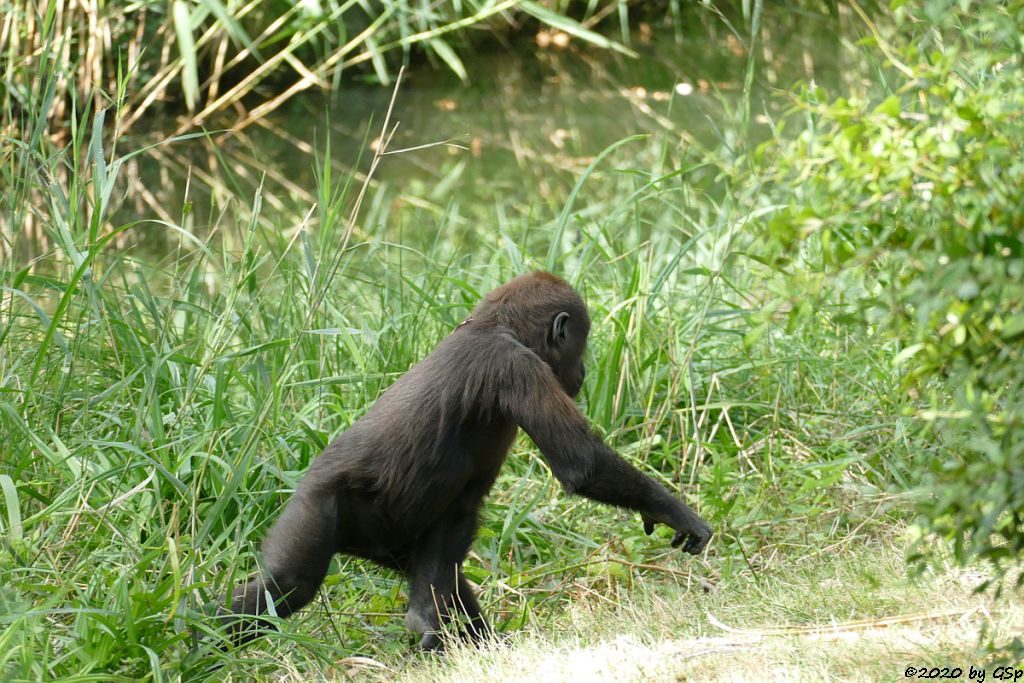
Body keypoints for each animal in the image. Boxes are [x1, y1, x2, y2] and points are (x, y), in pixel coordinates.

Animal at [229, 270, 712, 651]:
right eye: (579, 342)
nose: (582, 374)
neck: (492, 325)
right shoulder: (517, 366)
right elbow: (584, 464)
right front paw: (670, 509)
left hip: (390, 539)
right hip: (318, 505)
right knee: (289, 585)